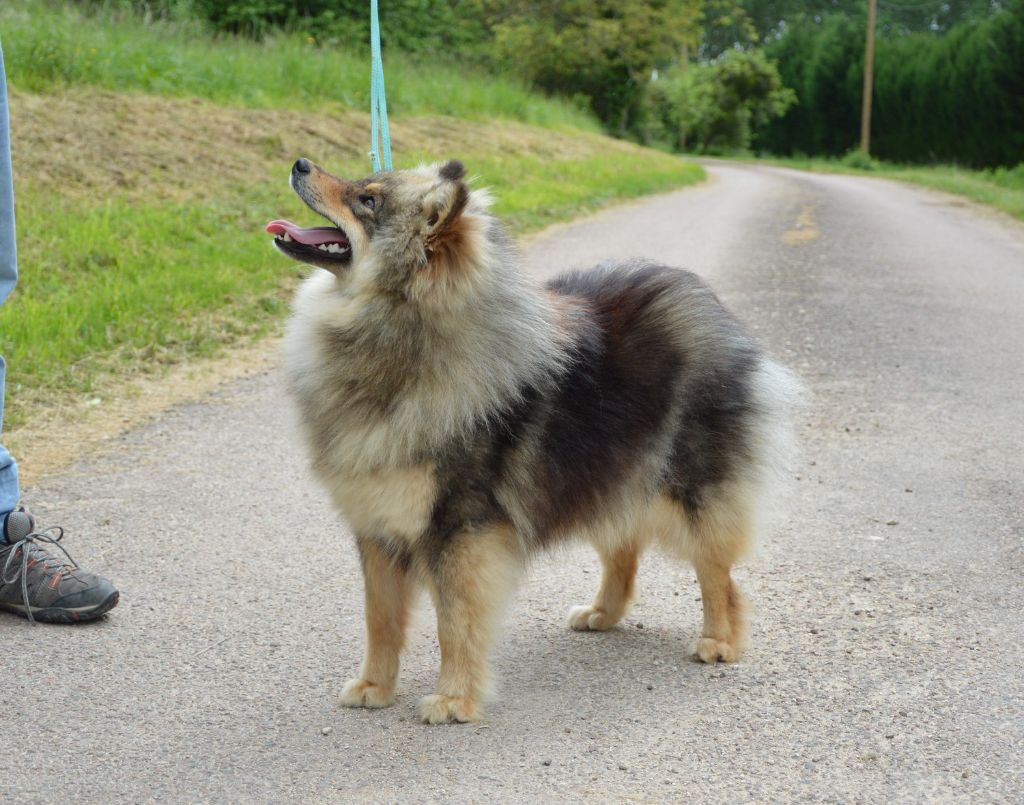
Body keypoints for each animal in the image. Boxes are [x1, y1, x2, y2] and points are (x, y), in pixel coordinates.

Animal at [266, 155, 798, 721]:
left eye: (367, 200)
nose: (300, 163)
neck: (399, 326)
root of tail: (713, 311)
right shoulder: (377, 526)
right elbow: (380, 620)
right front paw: (374, 687)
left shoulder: (461, 529)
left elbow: (455, 624)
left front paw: (454, 698)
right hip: (607, 474)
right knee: (624, 552)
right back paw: (601, 613)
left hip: (691, 489)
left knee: (718, 573)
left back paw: (719, 640)